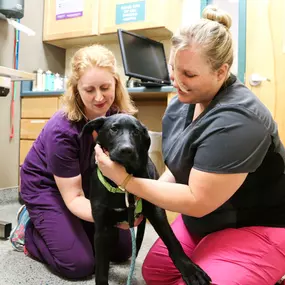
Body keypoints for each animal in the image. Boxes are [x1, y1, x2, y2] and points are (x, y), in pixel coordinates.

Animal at [79, 113, 210, 284]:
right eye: (114, 129)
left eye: (136, 132)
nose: (127, 150)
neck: (122, 187)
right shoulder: (103, 227)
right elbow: (101, 267)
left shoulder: (156, 211)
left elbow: (172, 239)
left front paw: (189, 269)